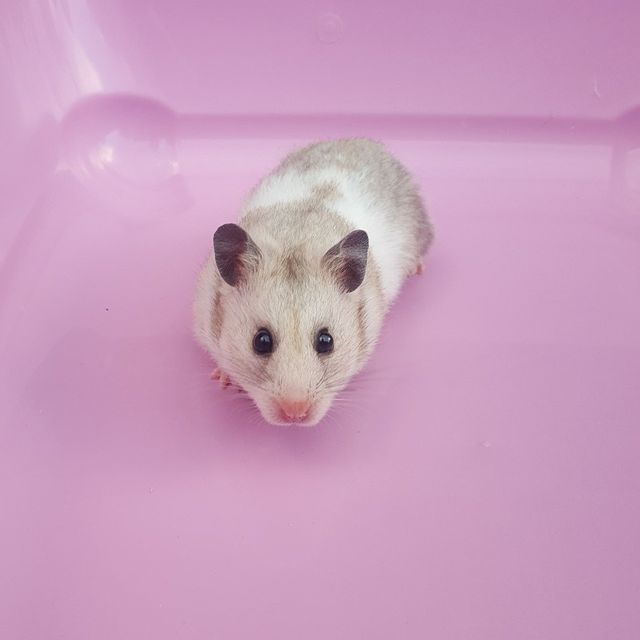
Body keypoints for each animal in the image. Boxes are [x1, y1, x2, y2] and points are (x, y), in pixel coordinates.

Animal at [194, 138, 433, 426]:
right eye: (261, 341)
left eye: (326, 341)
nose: (295, 414)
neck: (295, 240)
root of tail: (368, 142)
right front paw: (222, 379)